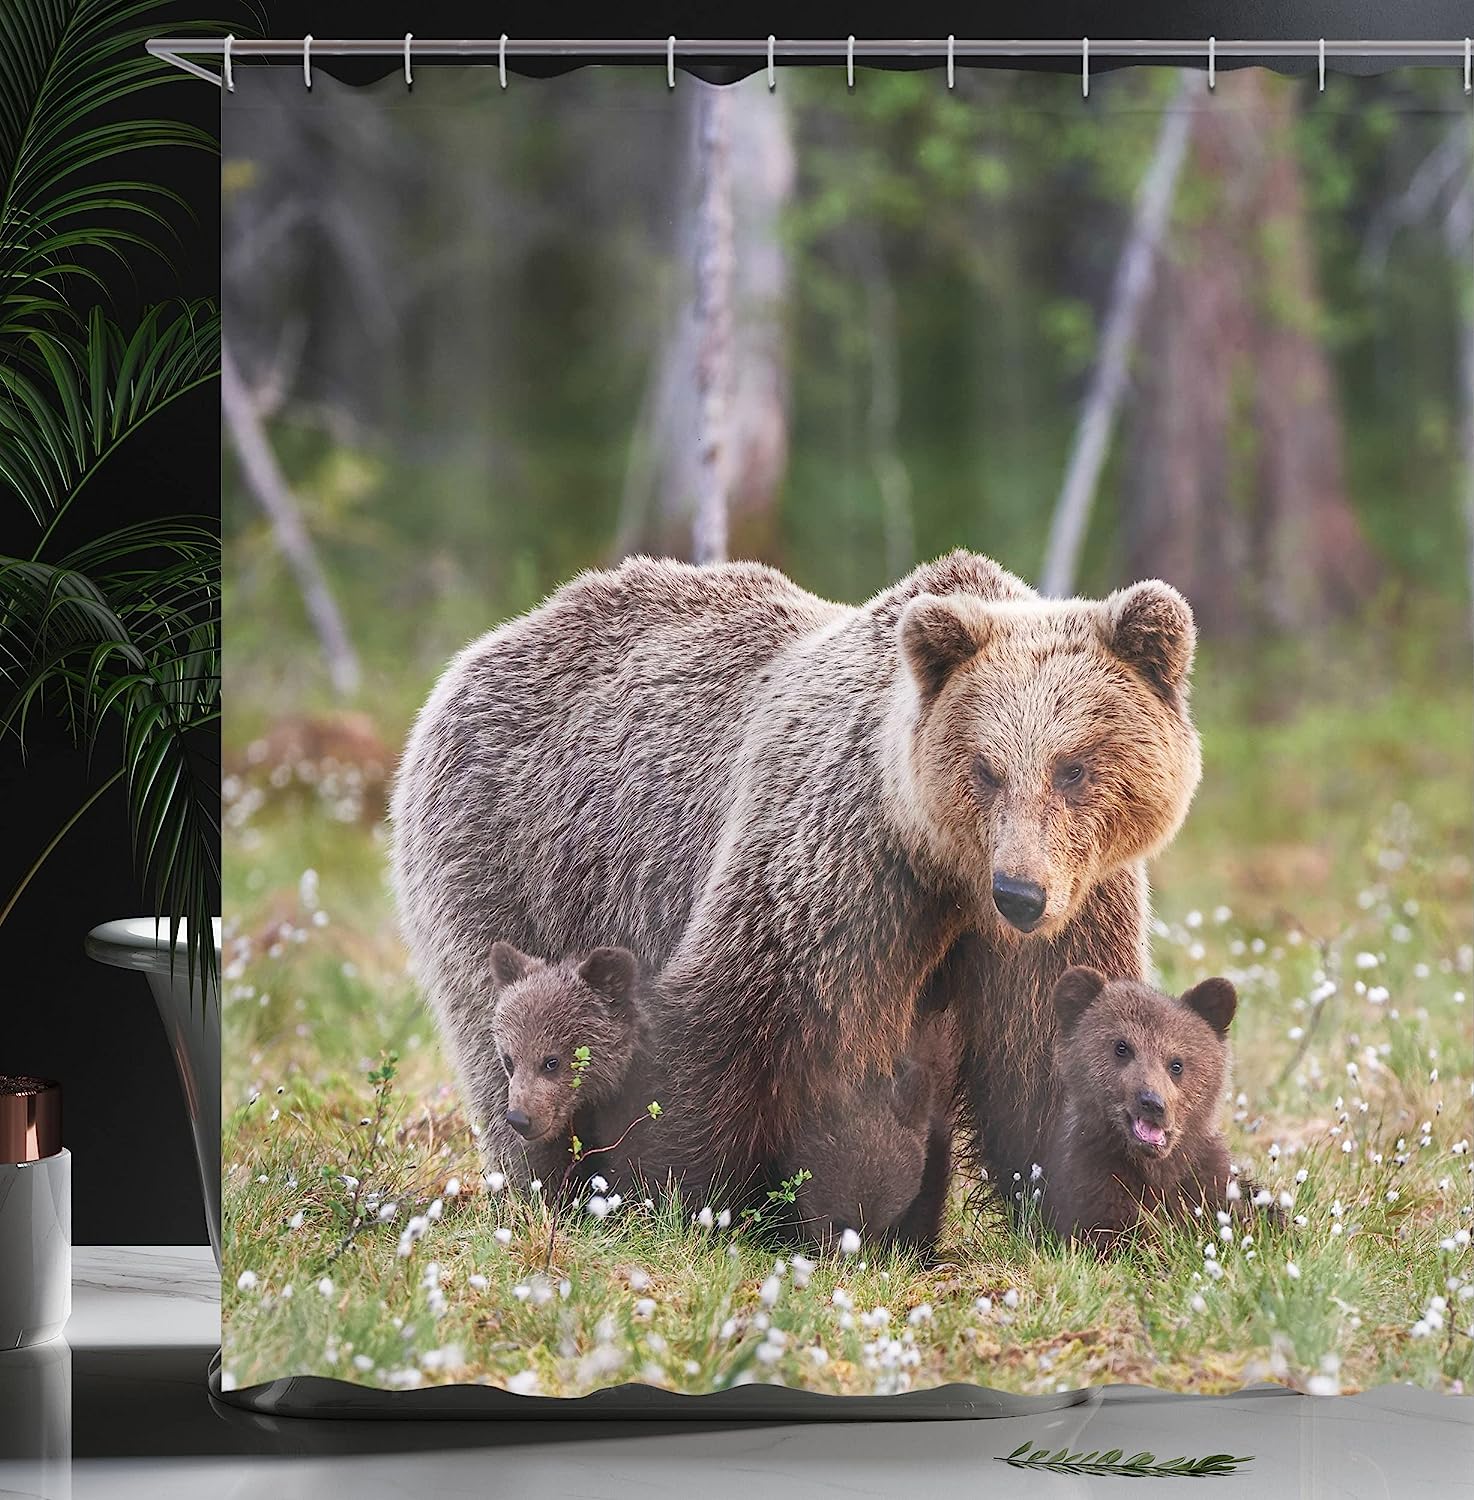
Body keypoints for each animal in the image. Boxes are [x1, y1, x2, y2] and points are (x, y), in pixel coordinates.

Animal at [1039, 966, 1236, 1251]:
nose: (1152, 1103)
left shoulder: (1206, 1176)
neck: (1155, 1169)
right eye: (1122, 1047)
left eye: (1177, 1064)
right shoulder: (1095, 1180)